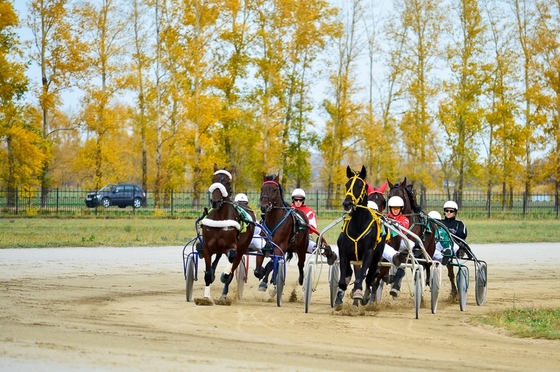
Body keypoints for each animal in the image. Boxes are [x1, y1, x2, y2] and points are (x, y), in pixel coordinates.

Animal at [199, 164, 256, 304]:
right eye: (213, 180)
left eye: (227, 182)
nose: (215, 201)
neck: (220, 219)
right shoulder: (207, 247)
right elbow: (208, 273)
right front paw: (206, 297)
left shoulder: (232, 246)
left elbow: (231, 259)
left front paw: (224, 275)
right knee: (218, 258)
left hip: (243, 247)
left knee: (234, 262)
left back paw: (223, 294)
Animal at [334, 166, 388, 310]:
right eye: (347, 185)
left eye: (359, 185)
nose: (347, 203)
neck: (358, 225)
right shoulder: (344, 252)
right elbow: (343, 279)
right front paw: (339, 298)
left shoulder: (368, 253)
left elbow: (363, 276)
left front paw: (359, 294)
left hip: (377, 256)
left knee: (369, 277)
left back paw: (366, 297)